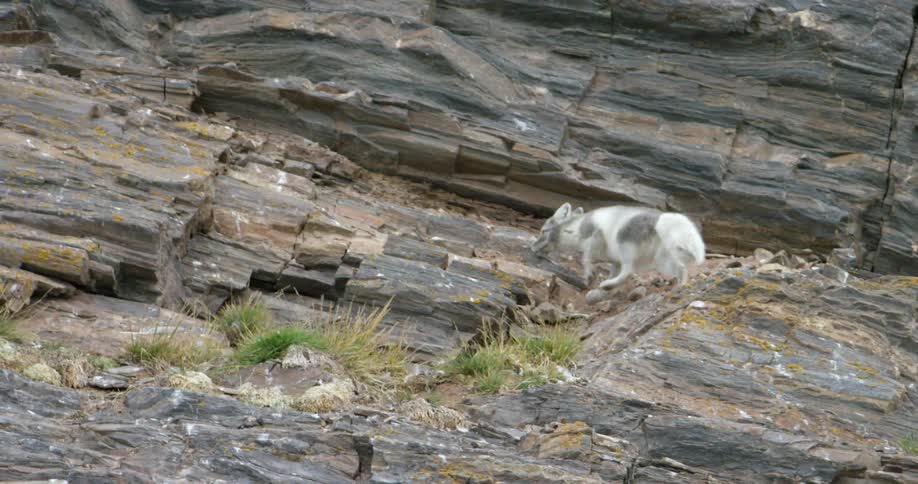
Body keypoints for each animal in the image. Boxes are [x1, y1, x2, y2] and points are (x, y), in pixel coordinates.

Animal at [530, 203, 706, 290]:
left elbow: (585, 258)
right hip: (662, 261)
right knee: (681, 269)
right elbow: (610, 269)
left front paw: (589, 275)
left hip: (625, 243)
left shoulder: (595, 234)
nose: (531, 248)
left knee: (628, 272)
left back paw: (607, 285)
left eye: (543, 231)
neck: (576, 228)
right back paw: (680, 286)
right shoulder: (615, 262)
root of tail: (660, 219)